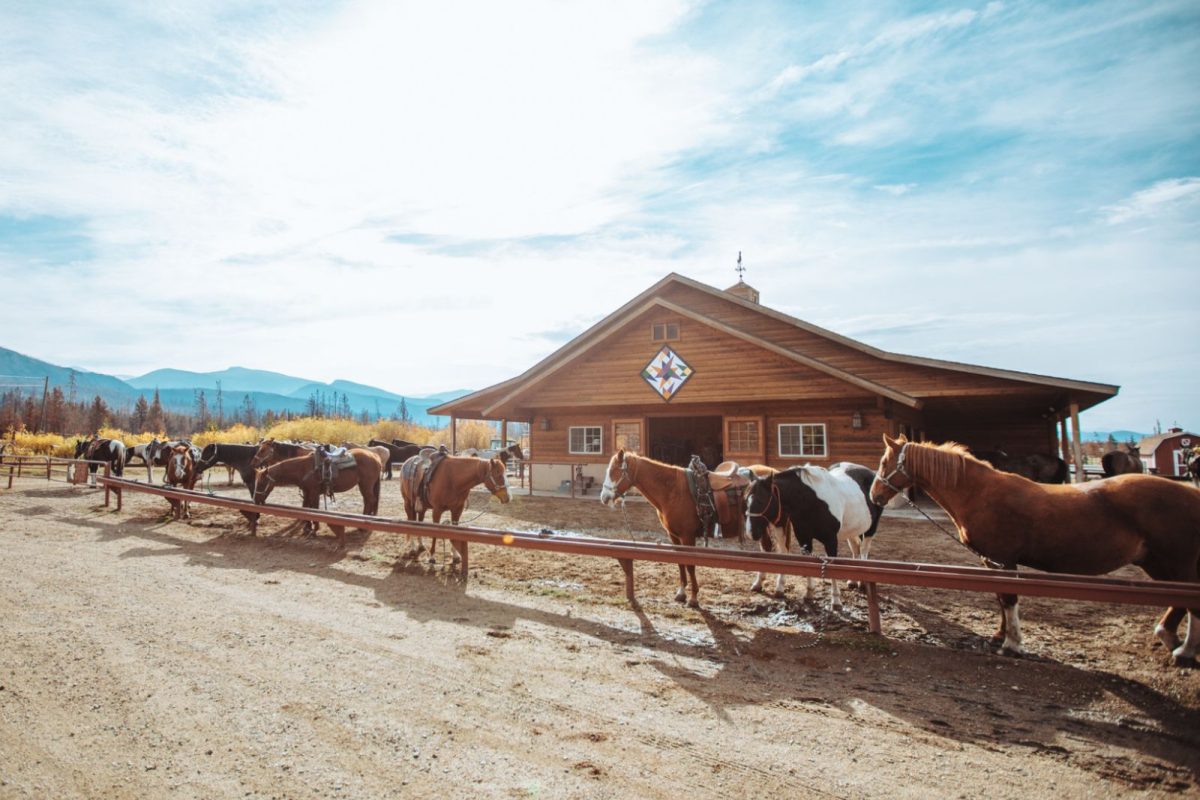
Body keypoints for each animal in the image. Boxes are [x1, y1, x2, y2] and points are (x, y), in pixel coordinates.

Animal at [250, 448, 381, 546]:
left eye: (261, 483)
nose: (255, 500)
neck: (303, 468)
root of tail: (375, 456)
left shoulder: (313, 493)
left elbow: (314, 510)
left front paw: (314, 530)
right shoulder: (307, 492)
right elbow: (306, 509)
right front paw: (307, 528)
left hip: (366, 485)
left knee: (370, 500)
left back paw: (364, 526)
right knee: (368, 501)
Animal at [604, 450, 744, 606]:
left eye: (614, 471)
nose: (603, 497)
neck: (673, 491)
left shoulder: (687, 536)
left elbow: (690, 565)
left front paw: (693, 598)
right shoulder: (674, 536)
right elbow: (679, 562)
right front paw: (681, 593)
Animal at [744, 462, 888, 606]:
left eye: (760, 501)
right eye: (746, 501)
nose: (750, 533)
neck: (811, 501)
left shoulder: (831, 541)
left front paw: (836, 600)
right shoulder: (804, 538)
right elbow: (809, 564)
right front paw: (809, 594)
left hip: (870, 529)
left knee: (864, 550)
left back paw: (862, 583)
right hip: (852, 529)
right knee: (855, 548)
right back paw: (852, 581)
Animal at [873, 434, 1200, 666]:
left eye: (884, 462)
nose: (875, 494)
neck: (979, 493)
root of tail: (1192, 494)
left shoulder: (1003, 559)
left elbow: (1008, 598)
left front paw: (1012, 644)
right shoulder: (992, 561)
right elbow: (999, 597)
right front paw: (999, 635)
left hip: (1176, 560)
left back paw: (1184, 650)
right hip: (1156, 561)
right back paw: (1169, 636)